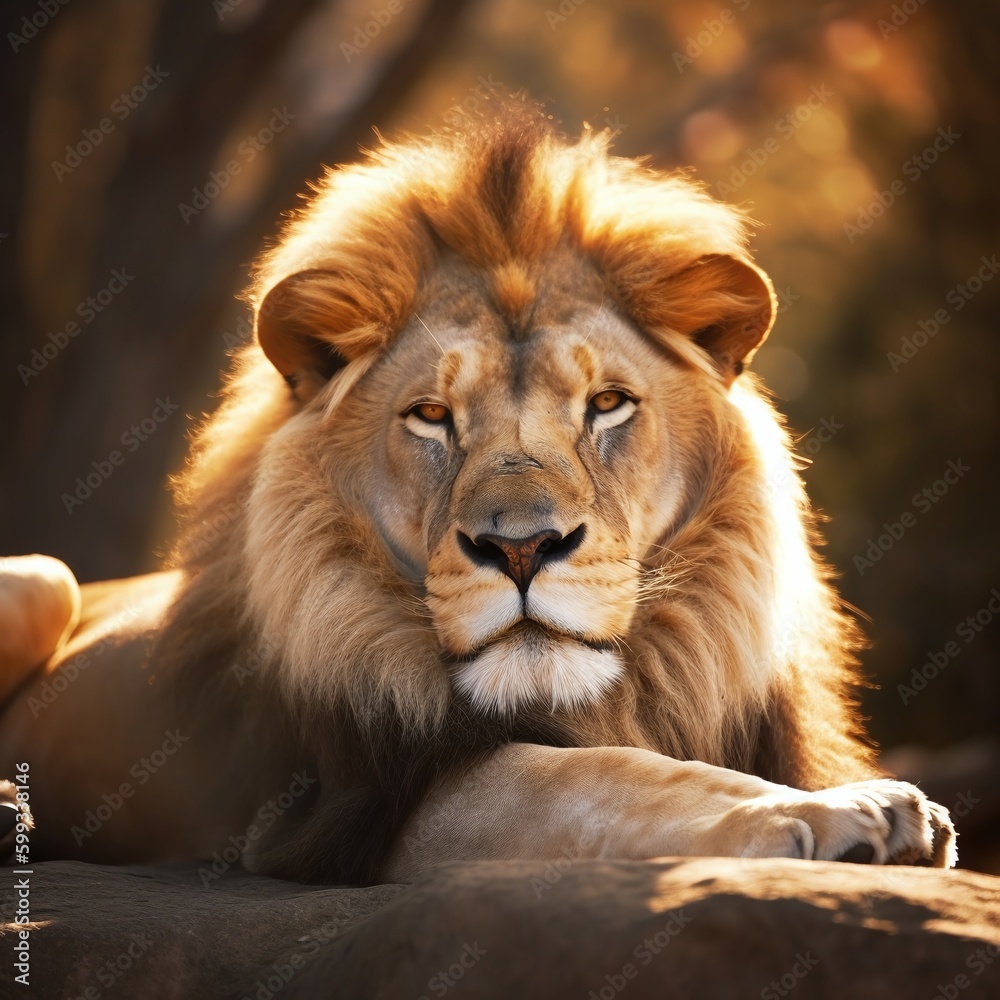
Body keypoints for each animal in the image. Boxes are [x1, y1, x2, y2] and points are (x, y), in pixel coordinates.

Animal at [0, 105, 955, 882]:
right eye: (431, 416)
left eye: (607, 404)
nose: (521, 548)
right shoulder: (358, 808)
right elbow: (601, 777)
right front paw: (837, 810)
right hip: (45, 577)